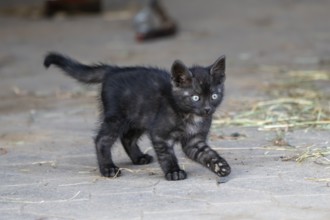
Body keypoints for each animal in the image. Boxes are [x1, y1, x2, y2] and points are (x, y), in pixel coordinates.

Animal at [43, 52, 231, 180]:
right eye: (195, 97)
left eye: (214, 96)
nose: (207, 109)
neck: (190, 116)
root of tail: (113, 70)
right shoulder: (160, 135)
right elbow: (166, 154)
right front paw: (173, 171)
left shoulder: (194, 140)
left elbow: (207, 154)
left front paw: (220, 165)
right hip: (117, 117)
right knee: (102, 139)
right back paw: (108, 168)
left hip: (138, 117)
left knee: (127, 137)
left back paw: (138, 157)